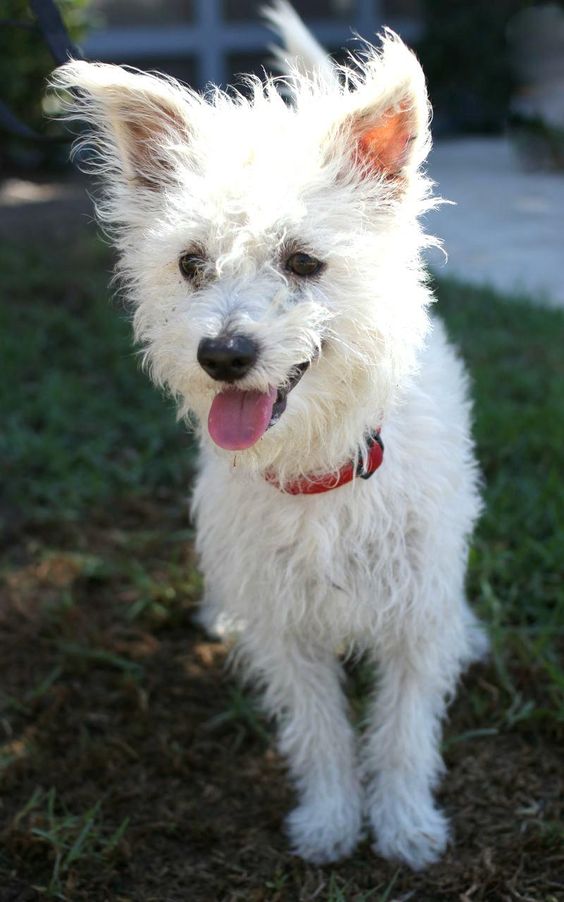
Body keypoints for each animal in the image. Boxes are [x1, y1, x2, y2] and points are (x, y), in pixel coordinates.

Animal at [51, 1, 484, 876]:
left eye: (304, 260)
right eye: (190, 263)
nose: (223, 355)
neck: (321, 467)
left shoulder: (415, 619)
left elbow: (403, 733)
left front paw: (404, 825)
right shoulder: (288, 631)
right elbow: (318, 733)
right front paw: (331, 821)